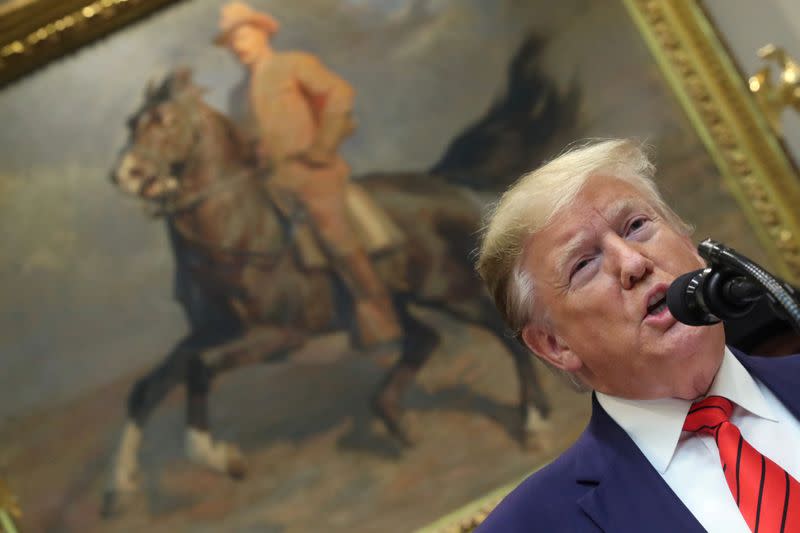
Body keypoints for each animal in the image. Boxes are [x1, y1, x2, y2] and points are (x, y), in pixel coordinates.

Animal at [103, 69, 552, 516]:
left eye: (165, 120)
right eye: (132, 123)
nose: (123, 175)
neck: (241, 232)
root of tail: (443, 182)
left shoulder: (281, 336)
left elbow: (201, 368)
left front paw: (219, 457)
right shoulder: (212, 331)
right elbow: (148, 387)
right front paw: (121, 486)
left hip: (449, 291)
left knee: (506, 339)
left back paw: (534, 422)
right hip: (394, 303)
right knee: (425, 339)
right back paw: (395, 419)